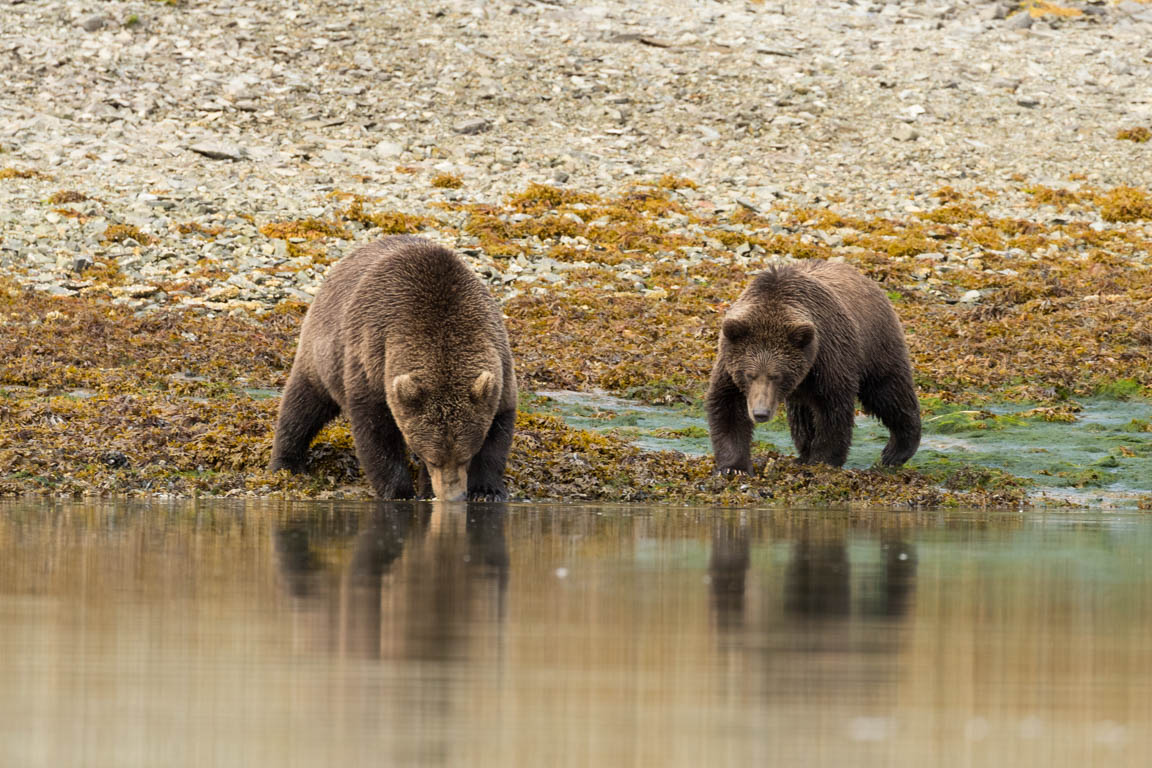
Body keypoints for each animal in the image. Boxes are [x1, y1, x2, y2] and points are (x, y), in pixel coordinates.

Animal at [269, 240, 513, 504]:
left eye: (465, 457)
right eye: (433, 460)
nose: (452, 496)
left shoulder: (499, 366)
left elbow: (497, 433)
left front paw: (486, 491)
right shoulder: (372, 362)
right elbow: (377, 435)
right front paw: (400, 491)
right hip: (323, 354)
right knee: (302, 405)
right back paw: (286, 464)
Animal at [700, 261, 916, 472]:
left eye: (776, 375)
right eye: (749, 375)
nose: (761, 413)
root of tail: (868, 280)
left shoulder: (829, 358)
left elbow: (833, 411)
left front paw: (822, 460)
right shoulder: (730, 364)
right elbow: (728, 406)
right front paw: (734, 467)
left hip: (875, 346)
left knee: (889, 393)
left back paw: (896, 451)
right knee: (801, 415)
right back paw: (803, 454)